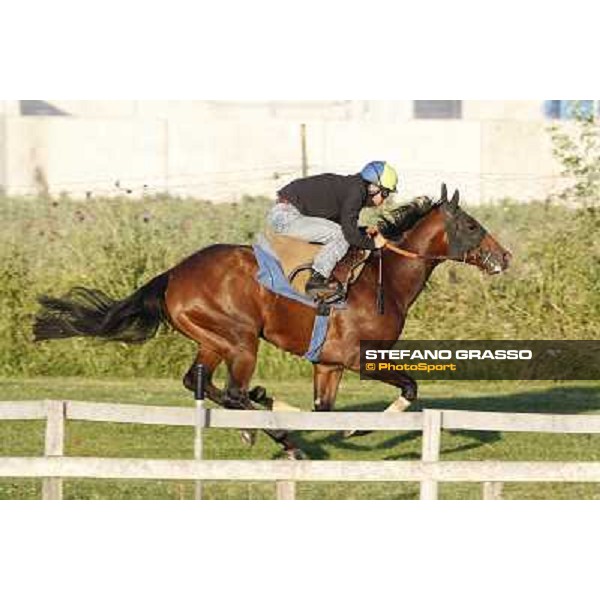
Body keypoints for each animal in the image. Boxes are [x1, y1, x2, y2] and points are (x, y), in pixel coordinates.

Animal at [32, 183, 510, 454]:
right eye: (470, 224)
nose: (504, 257)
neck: (386, 278)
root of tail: (173, 275)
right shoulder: (359, 358)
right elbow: (409, 387)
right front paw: (358, 429)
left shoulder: (329, 364)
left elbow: (324, 409)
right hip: (241, 339)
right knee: (234, 390)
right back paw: (277, 431)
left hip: (213, 339)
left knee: (200, 382)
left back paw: (258, 420)